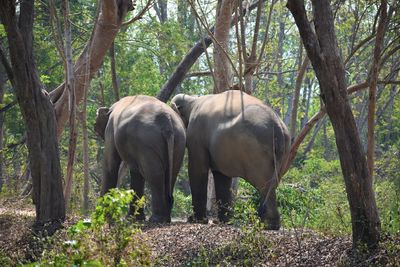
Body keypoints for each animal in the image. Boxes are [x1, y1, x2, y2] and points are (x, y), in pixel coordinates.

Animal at [95, 95, 186, 223]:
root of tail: (166, 120)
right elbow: (136, 172)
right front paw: (134, 218)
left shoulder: (110, 130)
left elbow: (110, 164)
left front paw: (105, 216)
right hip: (179, 140)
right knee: (171, 175)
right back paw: (165, 217)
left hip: (147, 141)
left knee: (154, 175)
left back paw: (156, 219)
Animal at [170, 90, 290, 230]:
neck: (193, 100)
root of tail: (278, 128)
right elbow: (221, 176)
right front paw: (225, 221)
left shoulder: (196, 132)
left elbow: (198, 168)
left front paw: (195, 220)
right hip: (284, 152)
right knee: (272, 184)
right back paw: (271, 224)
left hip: (256, 153)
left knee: (264, 185)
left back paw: (268, 224)